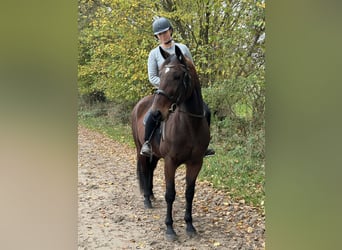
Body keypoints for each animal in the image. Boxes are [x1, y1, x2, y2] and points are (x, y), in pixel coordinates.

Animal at [132, 45, 210, 240]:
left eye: (177, 76)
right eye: (160, 74)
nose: (156, 113)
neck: (190, 125)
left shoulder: (196, 163)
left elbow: (189, 193)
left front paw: (190, 225)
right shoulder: (170, 162)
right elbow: (170, 194)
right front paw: (170, 228)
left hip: (155, 155)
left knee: (150, 170)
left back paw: (151, 195)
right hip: (140, 150)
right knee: (144, 170)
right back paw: (147, 199)